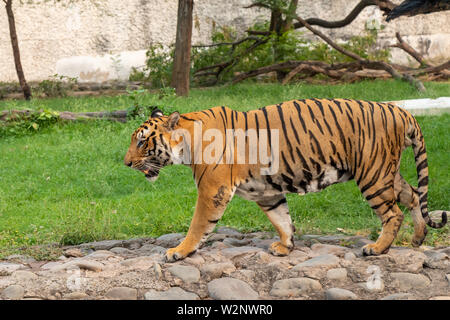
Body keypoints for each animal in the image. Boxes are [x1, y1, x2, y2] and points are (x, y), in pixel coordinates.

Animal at [123, 98, 446, 262]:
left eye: (141, 141)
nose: (125, 163)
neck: (188, 140)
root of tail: (401, 111)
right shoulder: (267, 192)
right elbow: (282, 219)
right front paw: (286, 246)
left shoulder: (212, 190)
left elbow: (197, 226)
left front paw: (179, 251)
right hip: (386, 172)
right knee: (413, 195)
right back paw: (417, 238)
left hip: (372, 174)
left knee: (393, 214)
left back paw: (377, 248)